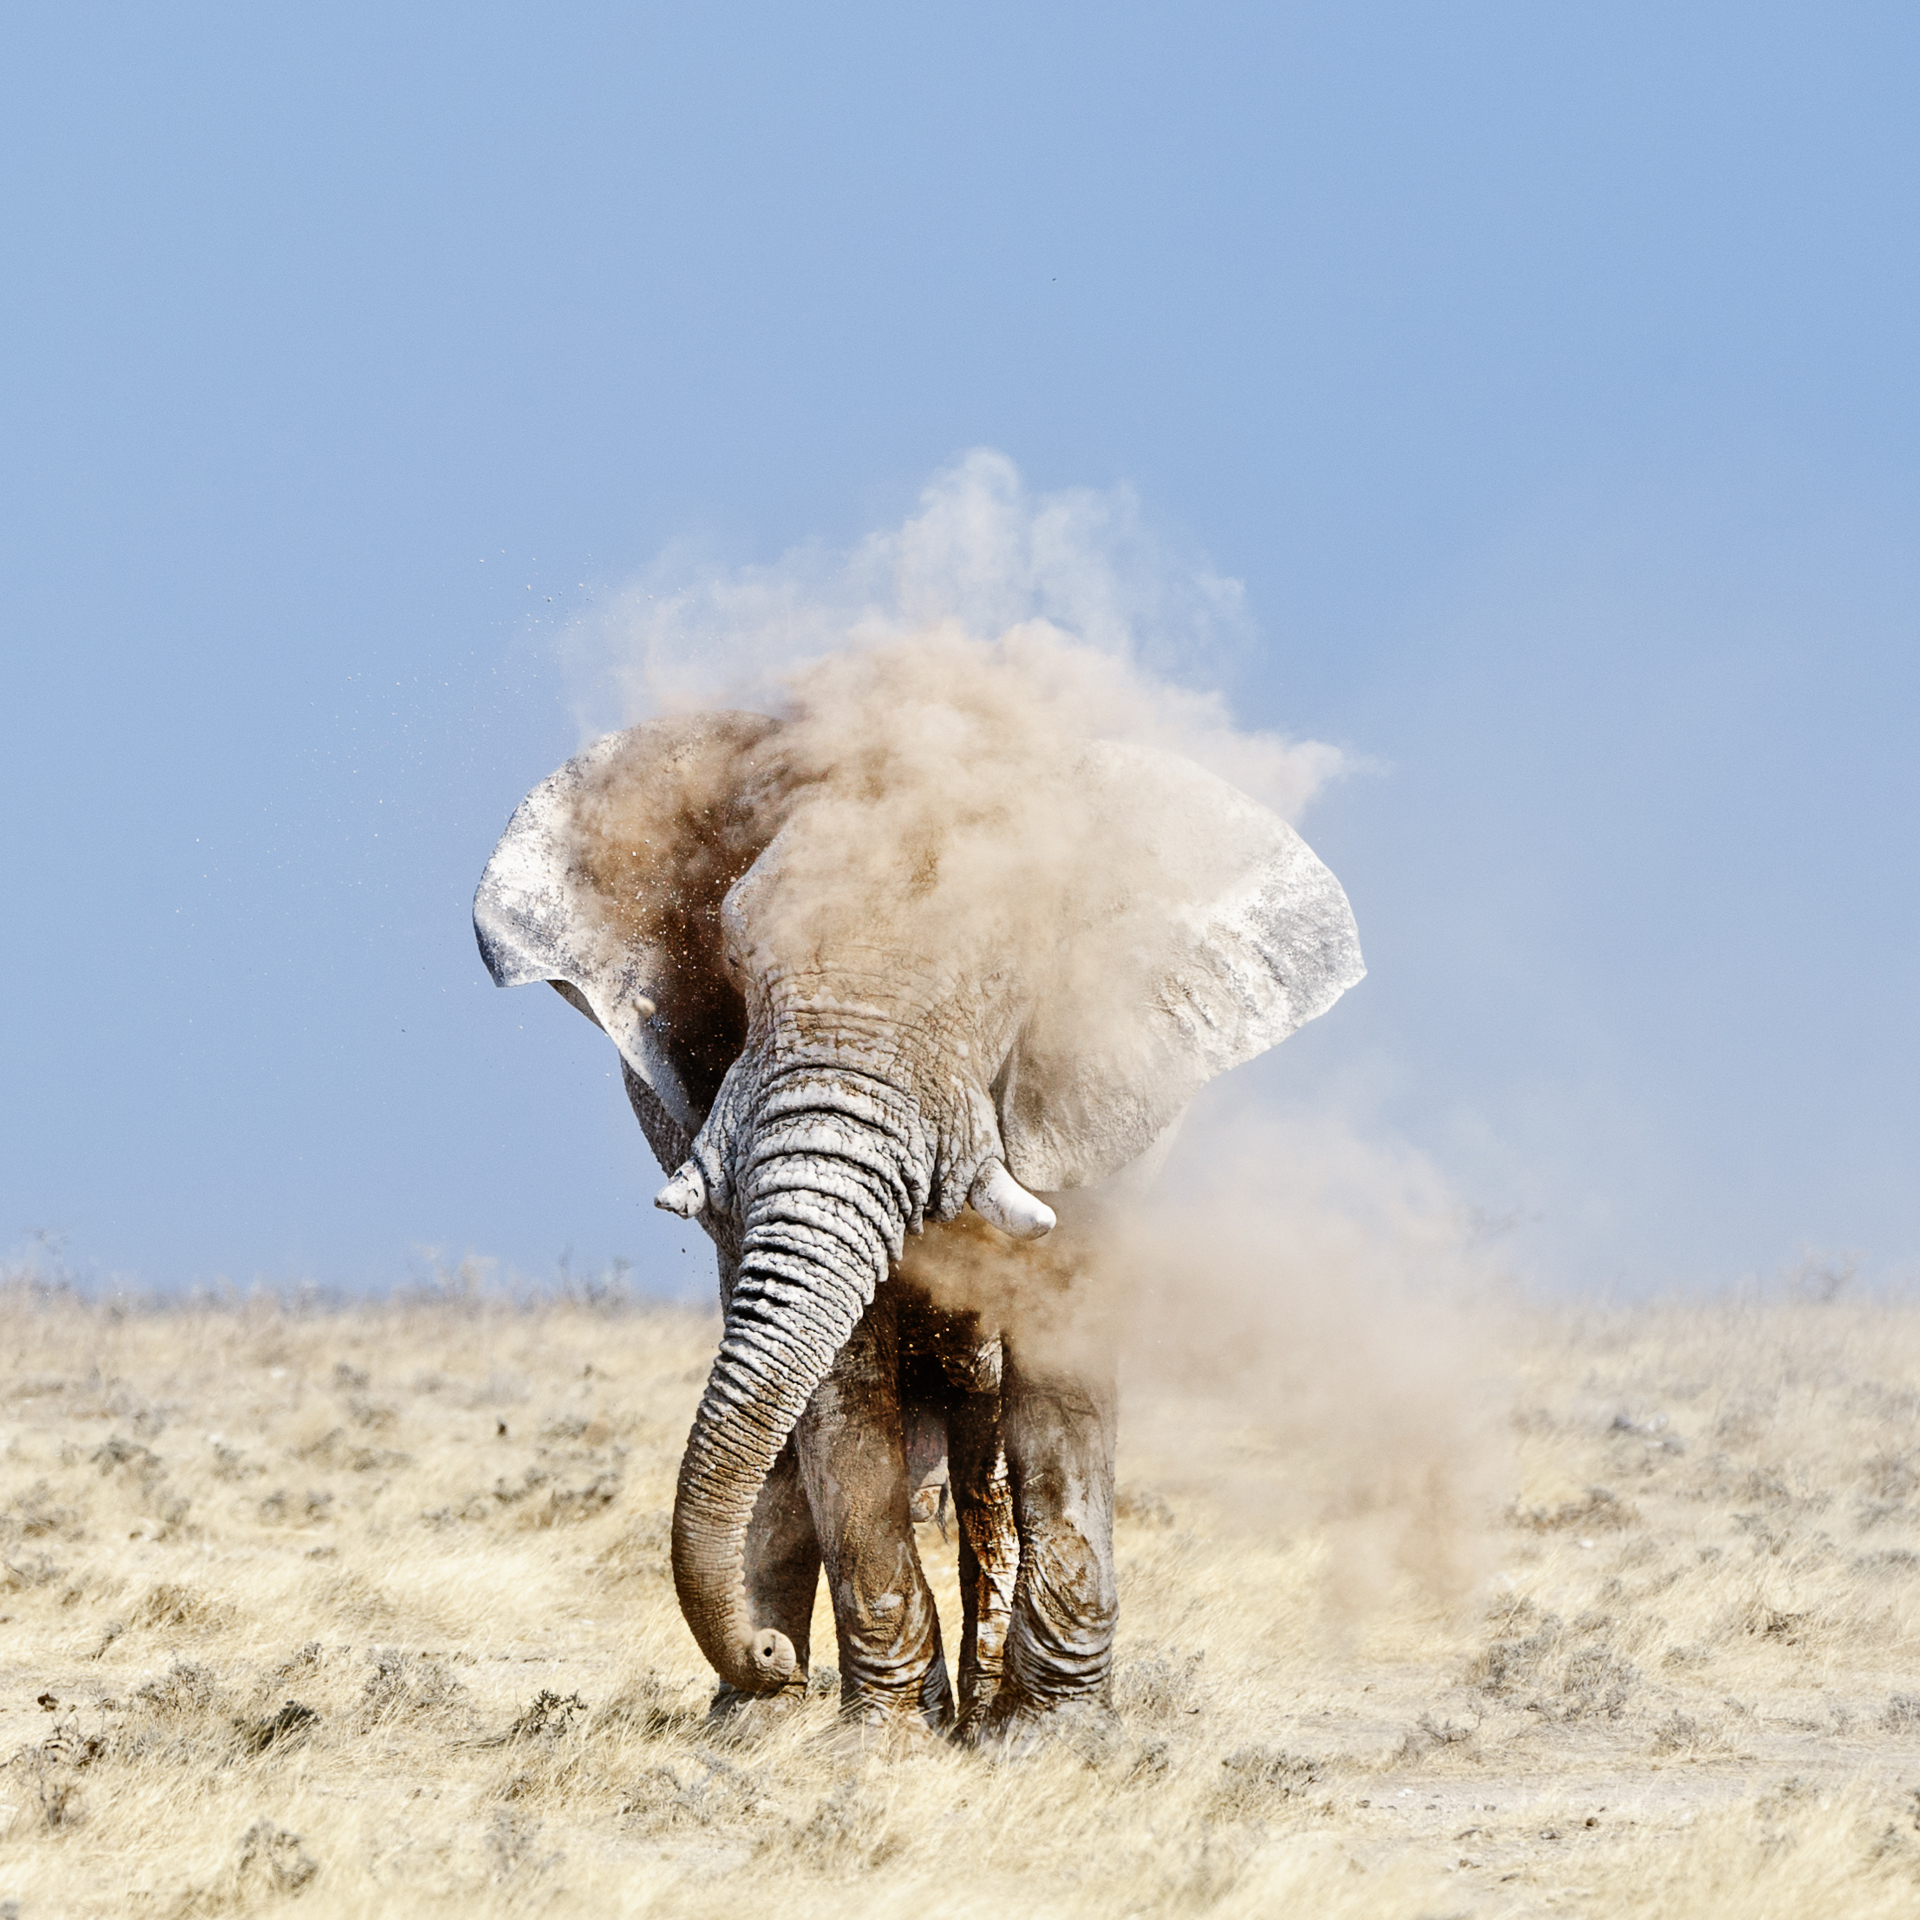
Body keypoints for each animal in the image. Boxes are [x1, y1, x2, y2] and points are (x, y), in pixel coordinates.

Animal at [470, 683, 1359, 1751]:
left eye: (1004, 983)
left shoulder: (1091, 1099)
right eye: (732, 960)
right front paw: (881, 1745)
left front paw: (1051, 1743)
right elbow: (837, 1381)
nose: (770, 1658)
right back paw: (755, 1729)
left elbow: (1059, 1362)